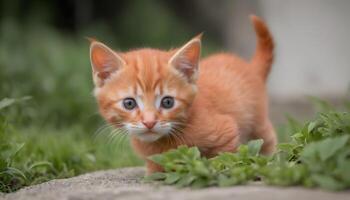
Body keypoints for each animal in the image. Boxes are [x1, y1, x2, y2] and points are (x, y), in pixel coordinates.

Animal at [89, 15, 276, 173]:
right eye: (129, 103)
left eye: (167, 102)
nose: (149, 122)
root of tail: (250, 67)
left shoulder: (227, 131)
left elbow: (222, 158)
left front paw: (215, 169)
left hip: (257, 122)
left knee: (267, 139)